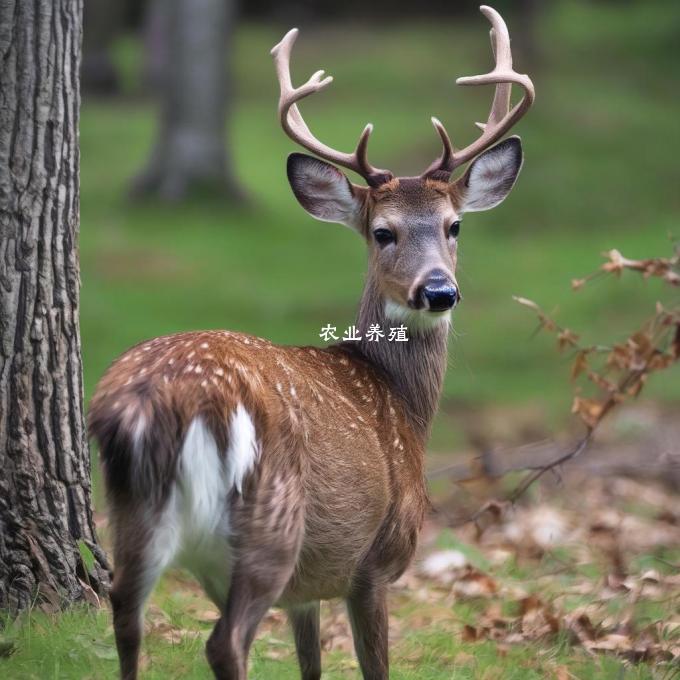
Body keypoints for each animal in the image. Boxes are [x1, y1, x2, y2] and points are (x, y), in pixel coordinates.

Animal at [90, 6, 532, 680]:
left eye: (455, 226)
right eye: (382, 232)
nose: (439, 290)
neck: (407, 407)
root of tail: (150, 401)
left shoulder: (309, 590)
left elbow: (311, 664)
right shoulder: (372, 561)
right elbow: (373, 664)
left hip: (134, 513)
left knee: (123, 610)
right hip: (270, 520)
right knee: (224, 641)